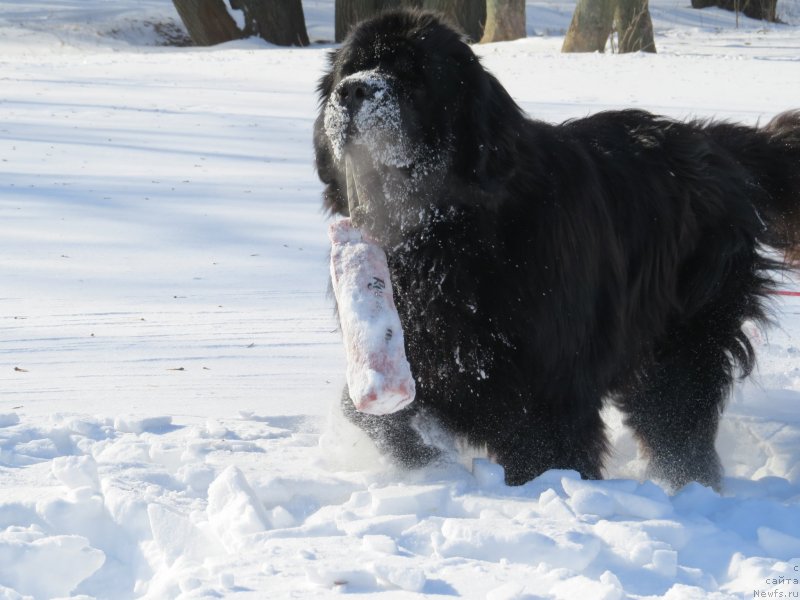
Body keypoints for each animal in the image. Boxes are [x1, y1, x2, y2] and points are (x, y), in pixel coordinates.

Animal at [314, 9, 800, 490]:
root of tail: (713, 142)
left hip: (686, 332)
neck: (450, 236)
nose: (353, 89)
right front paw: (429, 463)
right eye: (350, 67)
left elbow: (547, 449)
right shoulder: (426, 355)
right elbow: (368, 412)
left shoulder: (548, 378)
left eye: (414, 77)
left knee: (677, 414)